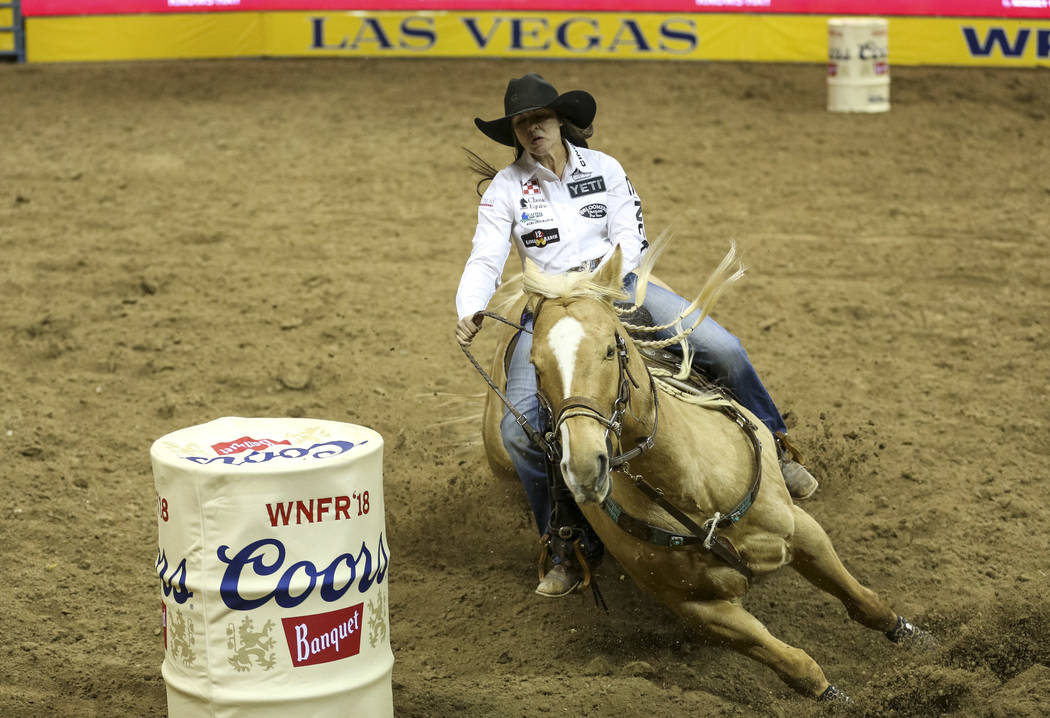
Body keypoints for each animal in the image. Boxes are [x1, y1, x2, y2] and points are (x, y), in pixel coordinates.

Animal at [478, 243, 928, 697]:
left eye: (609, 348)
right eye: (536, 364)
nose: (586, 467)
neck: (694, 488)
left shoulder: (802, 531)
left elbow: (865, 603)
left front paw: (918, 639)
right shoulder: (699, 609)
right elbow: (797, 665)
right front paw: (836, 697)